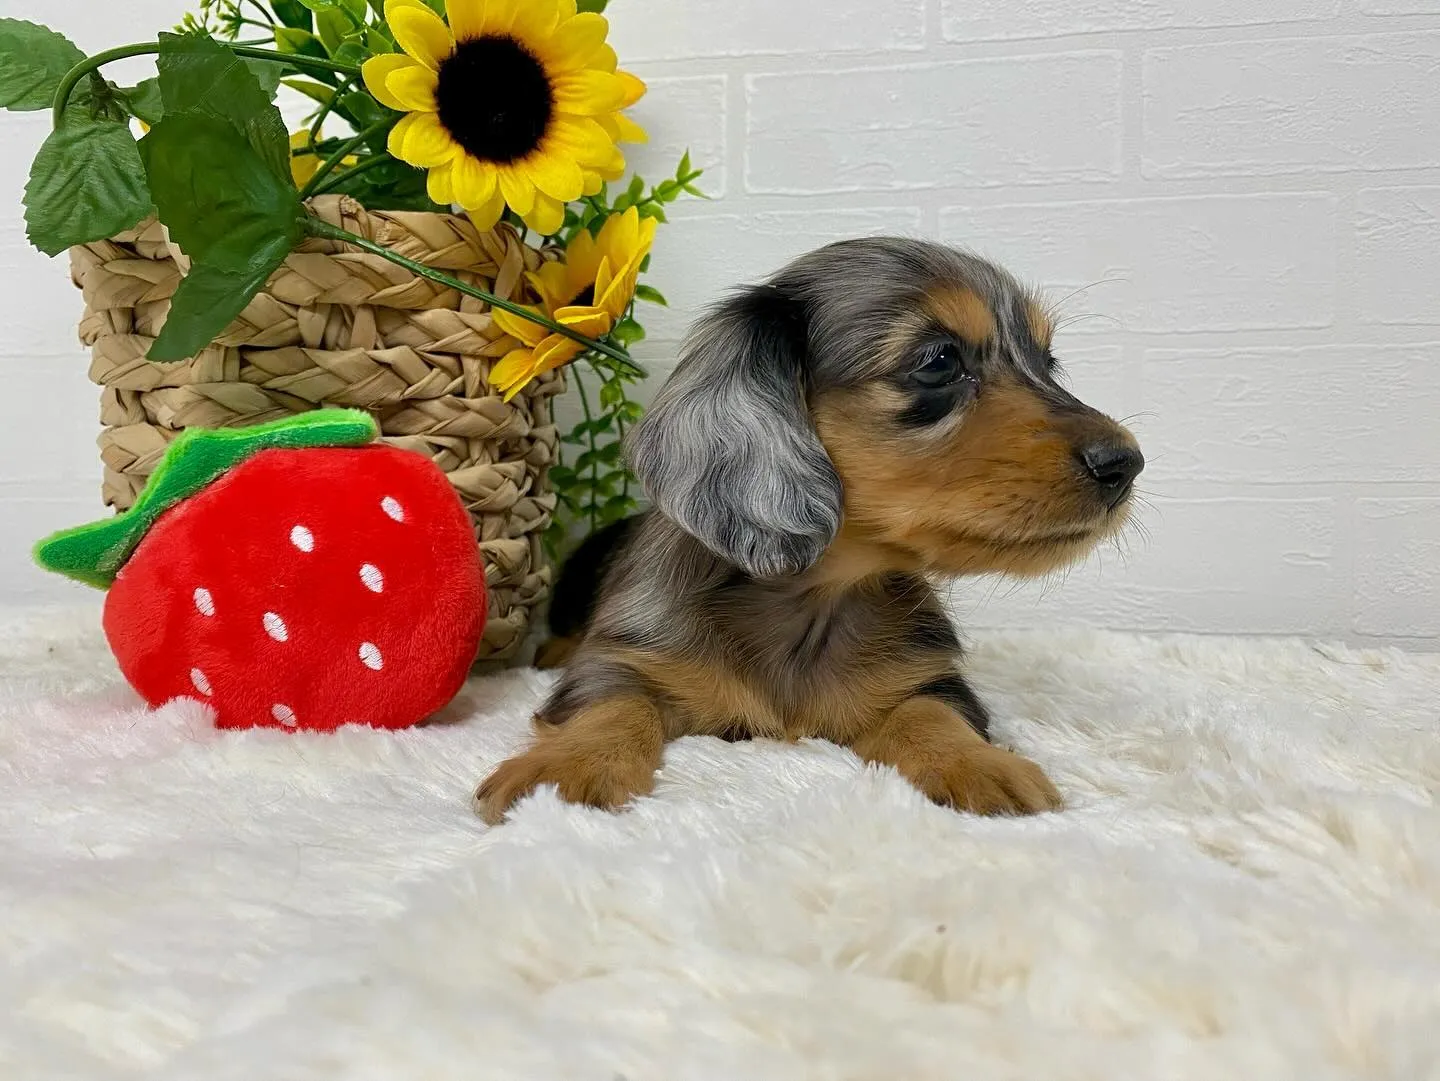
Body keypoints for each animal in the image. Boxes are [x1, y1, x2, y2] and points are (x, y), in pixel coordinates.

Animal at [478, 236, 1140, 823]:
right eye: (939, 362)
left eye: (1048, 363)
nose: (1126, 464)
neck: (813, 598)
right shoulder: (623, 657)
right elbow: (612, 703)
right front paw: (569, 768)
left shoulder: (929, 678)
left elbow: (930, 713)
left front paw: (977, 762)